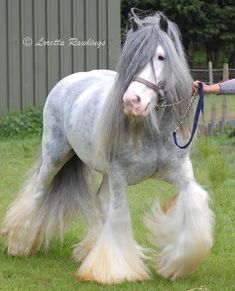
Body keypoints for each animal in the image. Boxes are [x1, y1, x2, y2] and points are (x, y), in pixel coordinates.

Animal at [2, 12, 215, 286]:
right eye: (131, 58)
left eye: (161, 56)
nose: (132, 102)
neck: (153, 132)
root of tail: (67, 81)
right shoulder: (119, 177)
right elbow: (120, 216)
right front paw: (114, 271)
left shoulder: (181, 175)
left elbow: (193, 208)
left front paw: (178, 263)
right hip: (55, 157)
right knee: (38, 192)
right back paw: (20, 242)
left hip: (102, 172)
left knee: (99, 201)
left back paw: (86, 250)